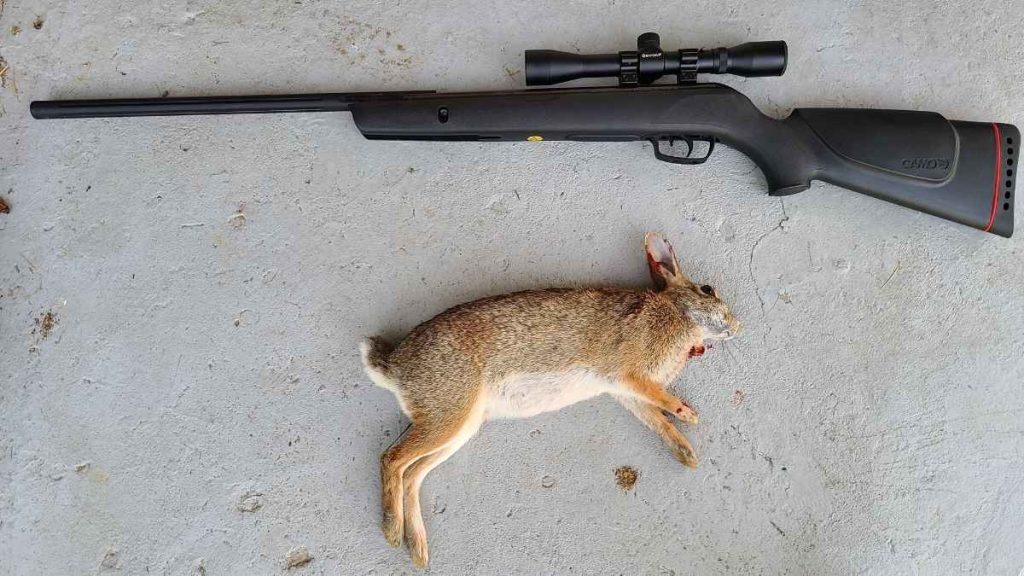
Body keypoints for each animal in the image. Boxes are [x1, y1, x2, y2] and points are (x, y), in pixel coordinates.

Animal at [360, 232, 740, 567]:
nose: (737, 325)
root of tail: (393, 368)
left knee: (413, 474)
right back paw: (392, 531)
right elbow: (658, 399)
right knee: (392, 459)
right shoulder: (628, 375)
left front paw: (686, 453)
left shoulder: (624, 393)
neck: (677, 313)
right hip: (448, 414)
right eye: (707, 289)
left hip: (460, 426)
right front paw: (688, 414)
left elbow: (656, 420)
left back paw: (417, 549)